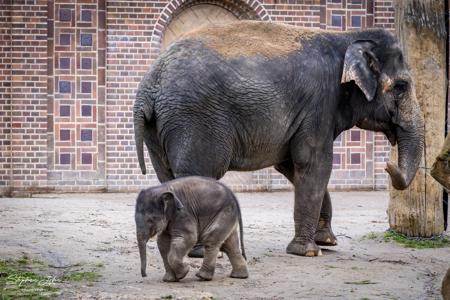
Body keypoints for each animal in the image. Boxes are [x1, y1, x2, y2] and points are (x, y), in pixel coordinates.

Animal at [134, 20, 426, 255]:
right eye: (401, 87)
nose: (388, 166)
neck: (347, 37)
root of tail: (149, 86)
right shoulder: (319, 104)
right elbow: (314, 163)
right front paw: (308, 252)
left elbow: (291, 166)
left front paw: (327, 242)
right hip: (193, 120)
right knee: (198, 176)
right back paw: (200, 252)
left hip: (159, 129)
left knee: (166, 176)